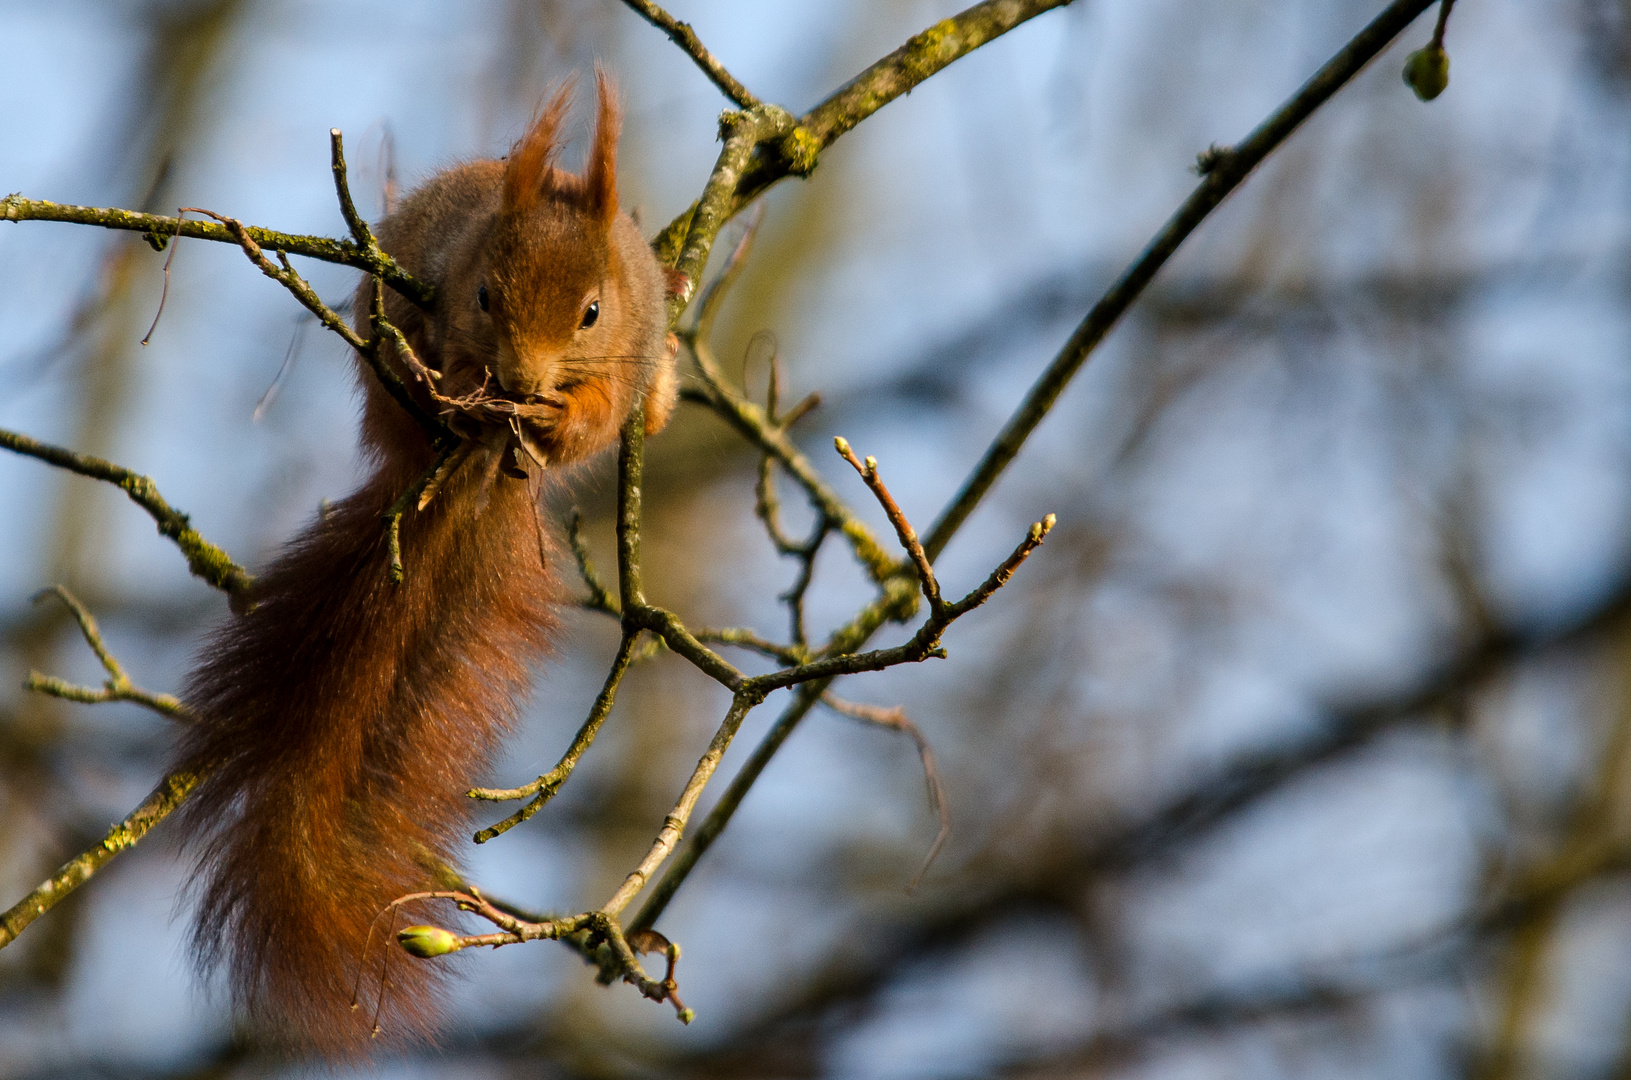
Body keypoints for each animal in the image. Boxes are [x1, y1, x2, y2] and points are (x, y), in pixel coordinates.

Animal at [168, 74, 671, 1057]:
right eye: (480, 293)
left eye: (593, 312)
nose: (519, 383)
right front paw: (469, 392)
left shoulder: (627, 358)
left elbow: (601, 415)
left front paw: (559, 418)